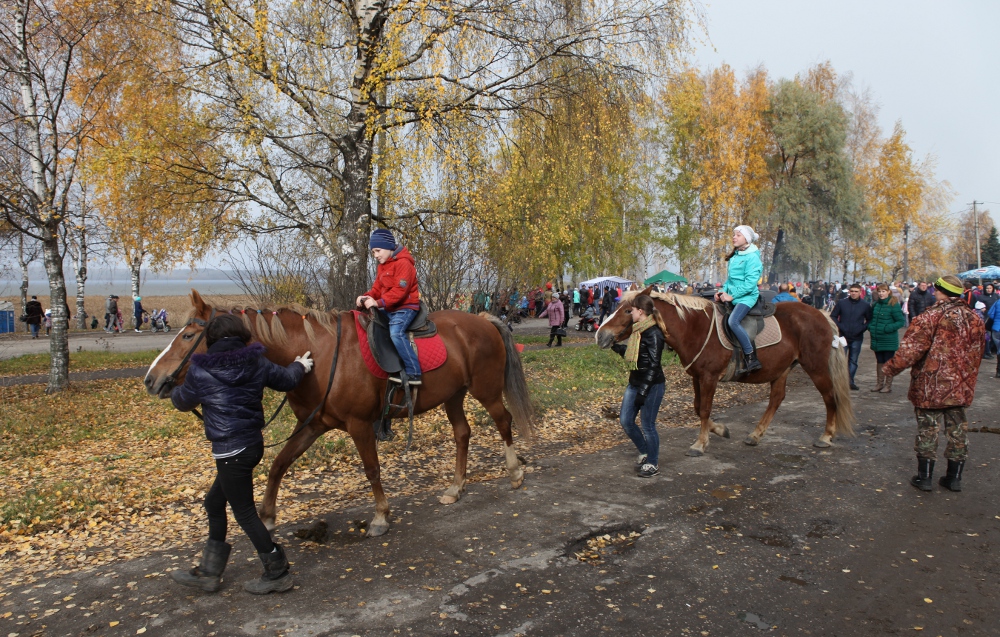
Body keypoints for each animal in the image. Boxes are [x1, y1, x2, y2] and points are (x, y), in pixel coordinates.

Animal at [143, 290, 535, 537]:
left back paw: (515, 473)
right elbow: (279, 465)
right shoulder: (313, 424)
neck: (318, 354)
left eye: (188, 335)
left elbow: (372, 470)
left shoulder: (360, 425)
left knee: (503, 421)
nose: (152, 379)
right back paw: (455, 487)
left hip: (485, 390)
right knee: (462, 433)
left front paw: (380, 517)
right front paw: (267, 517)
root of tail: (484, 320)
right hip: (453, 395)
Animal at [596, 288, 854, 456]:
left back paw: (826, 436)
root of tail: (821, 314)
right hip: (781, 369)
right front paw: (719, 430)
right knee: (776, 399)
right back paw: (755, 435)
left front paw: (700, 444)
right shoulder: (697, 377)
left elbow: (705, 409)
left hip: (816, 366)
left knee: (830, 397)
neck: (695, 328)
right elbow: (698, 407)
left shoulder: (709, 377)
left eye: (628, 311)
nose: (600, 334)